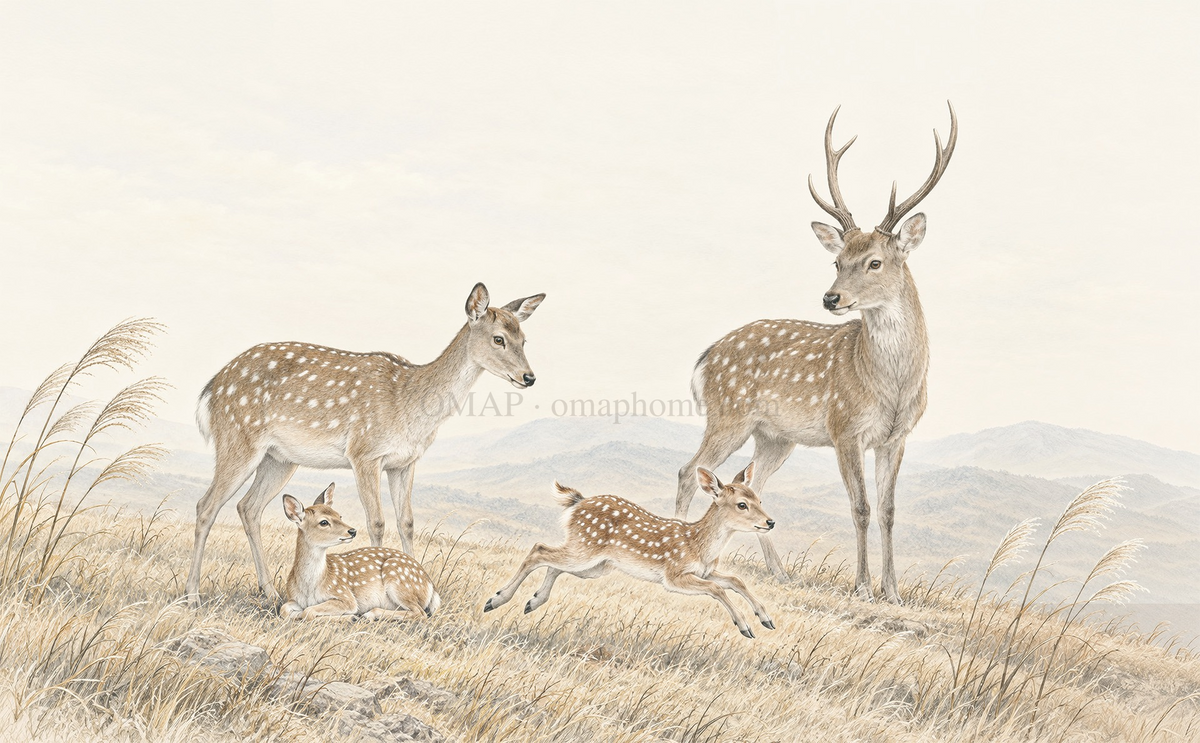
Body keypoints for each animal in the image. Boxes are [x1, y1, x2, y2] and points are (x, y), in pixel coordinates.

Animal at [185, 282, 545, 605]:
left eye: (524, 339)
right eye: (498, 338)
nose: (529, 378)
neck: (412, 406)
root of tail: (211, 389)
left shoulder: (405, 462)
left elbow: (407, 522)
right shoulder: (364, 453)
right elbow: (377, 521)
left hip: (279, 458)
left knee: (248, 507)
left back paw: (270, 591)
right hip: (237, 437)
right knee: (206, 505)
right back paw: (192, 594)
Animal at [280, 483, 441, 621]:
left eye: (339, 515)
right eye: (323, 522)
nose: (352, 531)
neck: (310, 587)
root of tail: (431, 586)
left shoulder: (346, 596)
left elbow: (309, 612)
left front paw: (349, 616)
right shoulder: (293, 598)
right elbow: (284, 610)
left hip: (397, 579)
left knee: (419, 612)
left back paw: (369, 614)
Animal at [483, 463, 777, 638]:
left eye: (760, 500)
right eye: (742, 504)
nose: (770, 522)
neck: (698, 544)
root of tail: (578, 502)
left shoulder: (706, 571)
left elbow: (735, 580)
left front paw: (766, 619)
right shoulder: (673, 575)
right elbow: (717, 589)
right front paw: (745, 626)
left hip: (594, 565)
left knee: (553, 563)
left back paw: (532, 602)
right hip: (586, 548)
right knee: (539, 550)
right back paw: (495, 600)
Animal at [676, 103, 957, 603]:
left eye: (875, 262)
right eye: (837, 260)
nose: (831, 298)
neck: (892, 386)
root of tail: (705, 358)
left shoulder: (897, 436)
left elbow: (889, 510)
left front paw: (892, 592)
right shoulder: (845, 428)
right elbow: (861, 506)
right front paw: (863, 588)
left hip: (774, 435)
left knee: (753, 485)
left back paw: (781, 571)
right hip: (729, 415)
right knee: (689, 471)